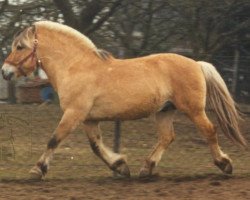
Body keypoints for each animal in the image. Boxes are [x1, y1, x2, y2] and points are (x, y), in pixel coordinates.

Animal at [0, 21, 246, 179]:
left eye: (20, 47)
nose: (5, 72)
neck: (76, 66)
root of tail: (197, 63)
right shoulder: (89, 119)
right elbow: (96, 146)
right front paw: (120, 167)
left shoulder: (74, 113)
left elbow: (54, 139)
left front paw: (37, 170)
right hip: (165, 111)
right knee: (167, 137)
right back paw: (146, 169)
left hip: (193, 110)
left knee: (209, 131)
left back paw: (225, 165)